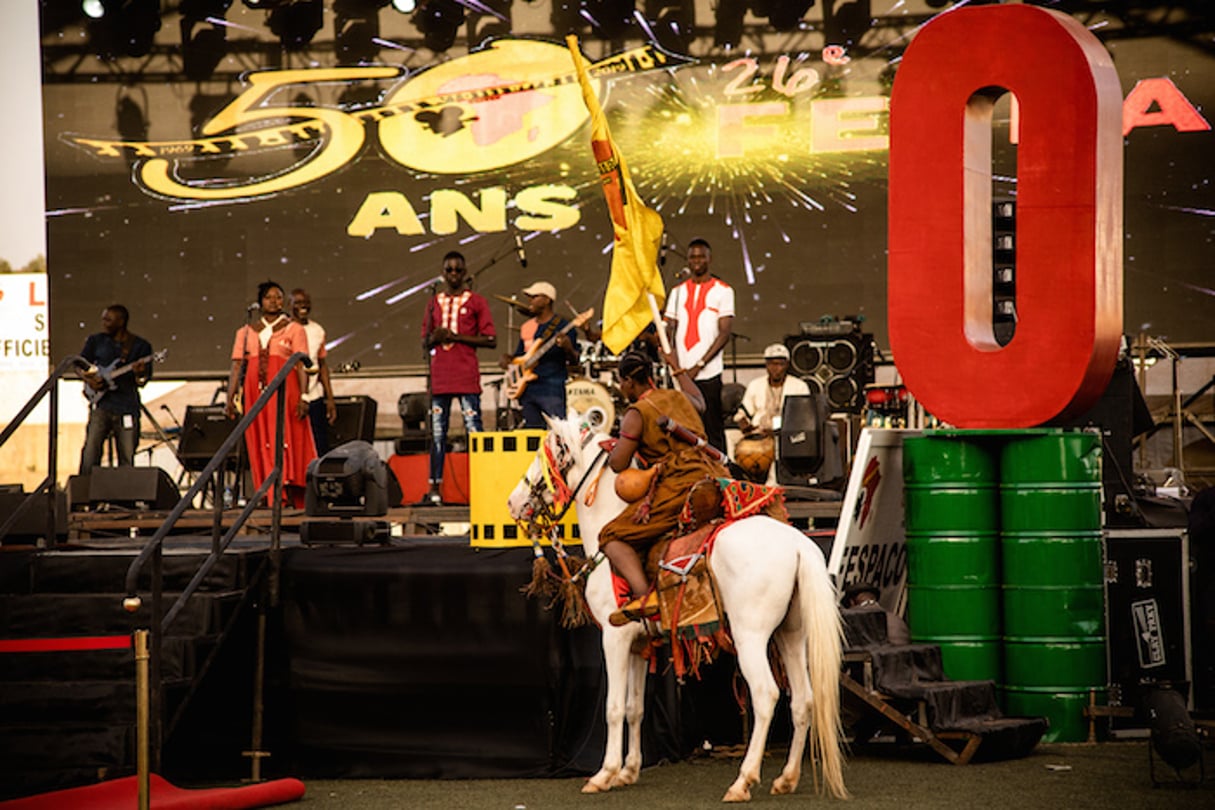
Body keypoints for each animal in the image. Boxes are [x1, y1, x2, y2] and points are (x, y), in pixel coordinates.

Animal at [507, 417, 850, 806]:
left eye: (542, 458)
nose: (513, 502)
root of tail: (797, 544)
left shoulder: (614, 638)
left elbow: (613, 708)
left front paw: (604, 774)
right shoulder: (640, 644)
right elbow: (634, 708)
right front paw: (628, 771)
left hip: (750, 636)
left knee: (766, 696)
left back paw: (743, 780)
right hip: (790, 635)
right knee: (803, 701)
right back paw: (787, 778)